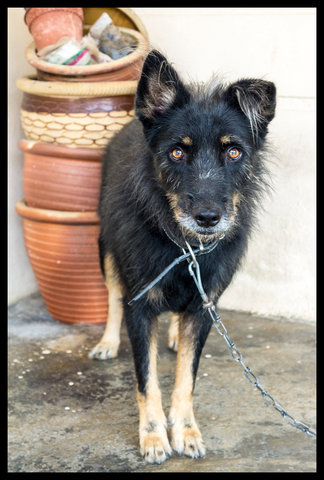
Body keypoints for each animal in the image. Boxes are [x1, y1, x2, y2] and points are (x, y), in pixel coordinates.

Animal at [89, 50, 276, 464]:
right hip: (104, 249)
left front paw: (186, 431)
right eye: (177, 151)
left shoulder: (205, 309)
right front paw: (153, 436)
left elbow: (186, 377)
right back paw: (108, 342)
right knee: (111, 296)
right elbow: (146, 380)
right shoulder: (140, 307)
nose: (208, 218)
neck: (185, 244)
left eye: (234, 151)